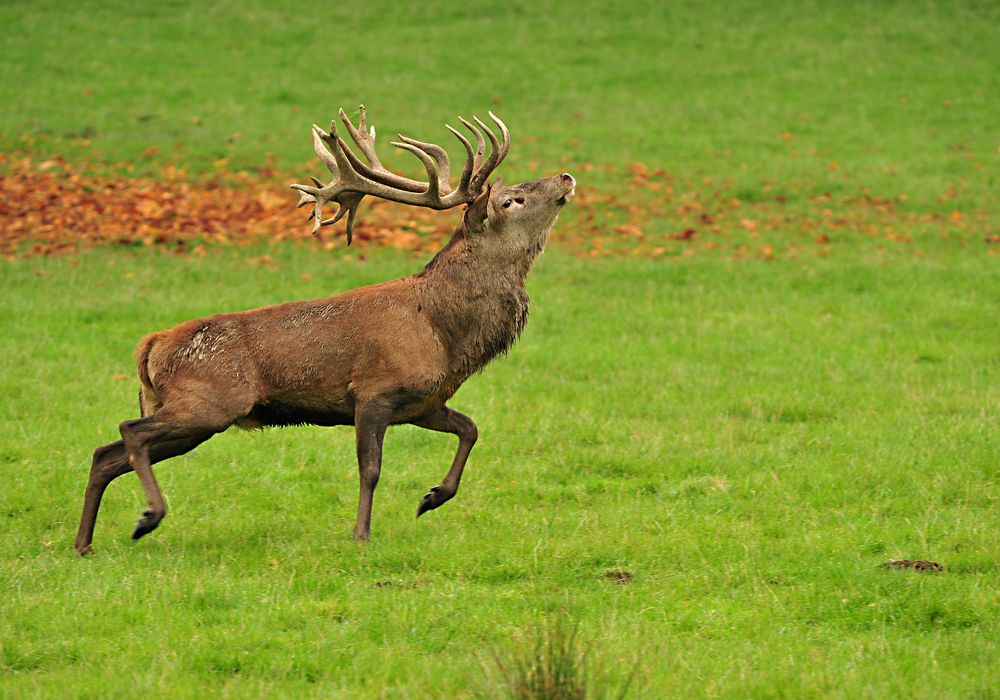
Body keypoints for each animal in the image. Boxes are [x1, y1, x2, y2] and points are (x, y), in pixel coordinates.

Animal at [74, 105, 576, 552]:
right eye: (511, 200)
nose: (566, 177)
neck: (445, 334)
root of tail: (152, 345)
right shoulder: (374, 390)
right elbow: (370, 469)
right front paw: (362, 534)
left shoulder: (424, 402)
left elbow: (470, 429)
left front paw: (432, 497)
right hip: (209, 401)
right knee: (129, 431)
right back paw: (148, 516)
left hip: (186, 413)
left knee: (106, 454)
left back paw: (85, 544)